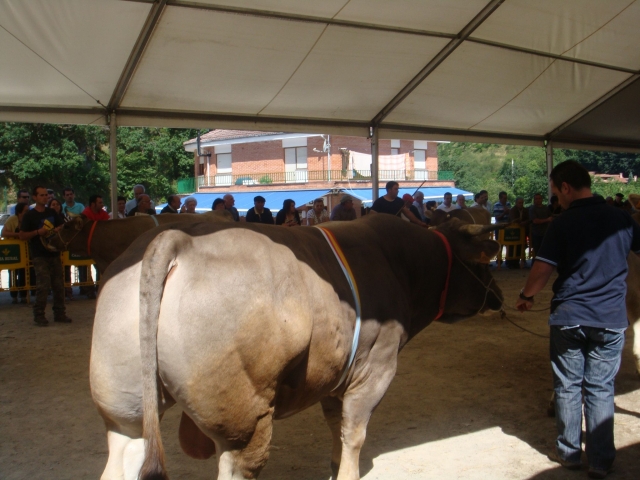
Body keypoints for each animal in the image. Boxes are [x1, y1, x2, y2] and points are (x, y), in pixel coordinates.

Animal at [92, 215, 503, 480]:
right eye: (485, 264)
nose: (498, 297)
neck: (400, 263)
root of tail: (178, 237)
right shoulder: (376, 367)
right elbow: (355, 433)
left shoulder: (337, 375)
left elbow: (337, 430)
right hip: (245, 423)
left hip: (125, 411)